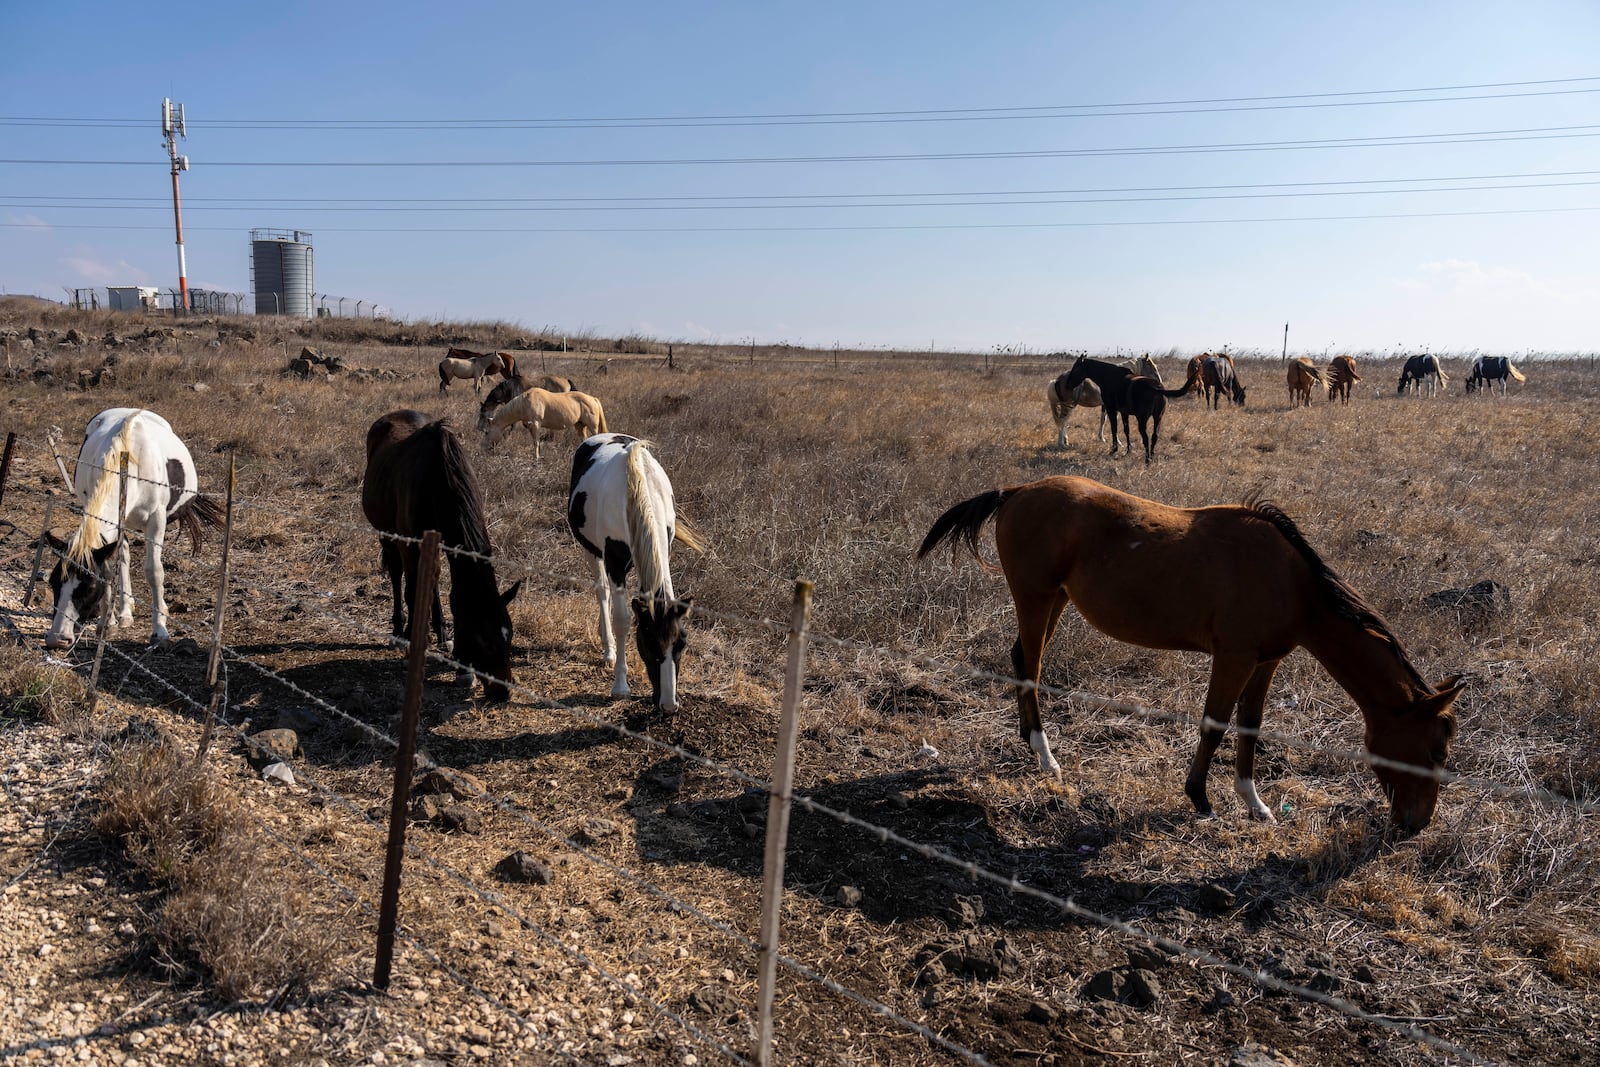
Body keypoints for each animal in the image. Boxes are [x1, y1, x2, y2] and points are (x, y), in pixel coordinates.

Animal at [45, 409, 224, 652]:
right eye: (53, 582)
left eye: (89, 587)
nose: (57, 639)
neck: (128, 459)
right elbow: (110, 567)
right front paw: (107, 623)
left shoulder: (156, 520)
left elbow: (154, 572)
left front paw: (160, 631)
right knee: (124, 556)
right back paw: (124, 611)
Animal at [361, 409, 518, 700]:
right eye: (480, 638)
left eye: (509, 634)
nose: (502, 690)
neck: (436, 479)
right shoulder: (409, 544)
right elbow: (412, 591)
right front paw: (412, 645)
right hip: (387, 535)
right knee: (397, 574)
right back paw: (399, 629)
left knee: (430, 579)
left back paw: (440, 631)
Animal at [569, 428, 707, 713]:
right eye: (649, 643)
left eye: (682, 644)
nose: (669, 705)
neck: (640, 488)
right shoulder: (613, 562)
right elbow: (622, 619)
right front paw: (620, 686)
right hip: (591, 550)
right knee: (602, 592)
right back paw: (609, 650)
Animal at [921, 476, 1465, 831]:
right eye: (1435, 751)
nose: (1417, 824)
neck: (1292, 581)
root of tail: (1015, 492)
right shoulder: (1234, 657)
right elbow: (1215, 724)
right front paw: (1200, 799)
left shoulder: (1266, 661)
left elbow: (1250, 727)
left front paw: (1256, 805)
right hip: (1036, 599)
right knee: (1031, 667)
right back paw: (1046, 756)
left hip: (1054, 601)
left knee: (1021, 660)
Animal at [1062, 358, 1203, 463]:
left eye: (1076, 369)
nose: (1067, 385)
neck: (1109, 377)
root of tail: (1156, 388)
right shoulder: (1124, 412)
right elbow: (1126, 430)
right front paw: (1128, 450)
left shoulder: (1112, 410)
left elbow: (1114, 429)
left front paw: (1114, 449)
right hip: (1158, 418)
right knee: (1154, 436)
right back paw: (1151, 456)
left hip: (1142, 419)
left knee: (1146, 437)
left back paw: (1147, 460)